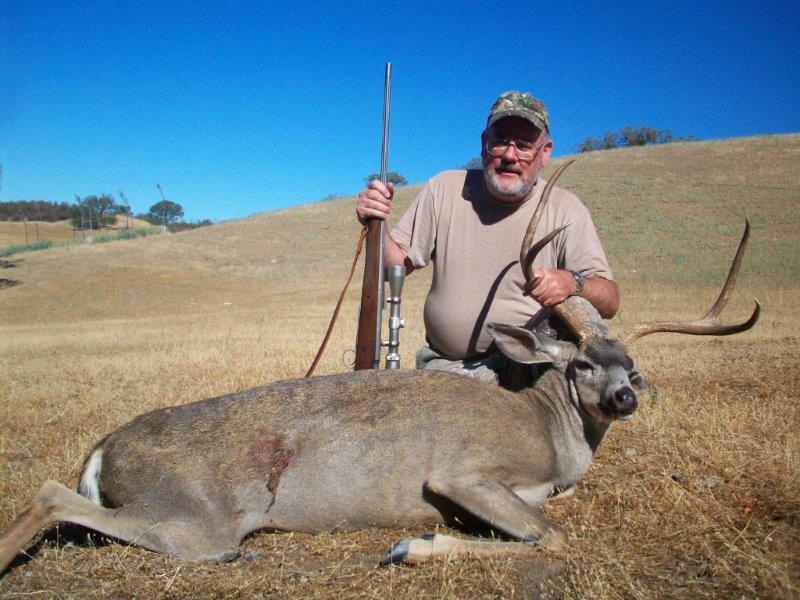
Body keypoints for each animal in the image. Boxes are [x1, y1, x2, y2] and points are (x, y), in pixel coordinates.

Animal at [0, 163, 759, 572]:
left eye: (635, 369)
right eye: (584, 366)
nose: (625, 399)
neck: (549, 435)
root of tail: (104, 447)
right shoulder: (462, 472)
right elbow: (551, 535)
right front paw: (412, 545)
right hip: (202, 521)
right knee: (50, 492)